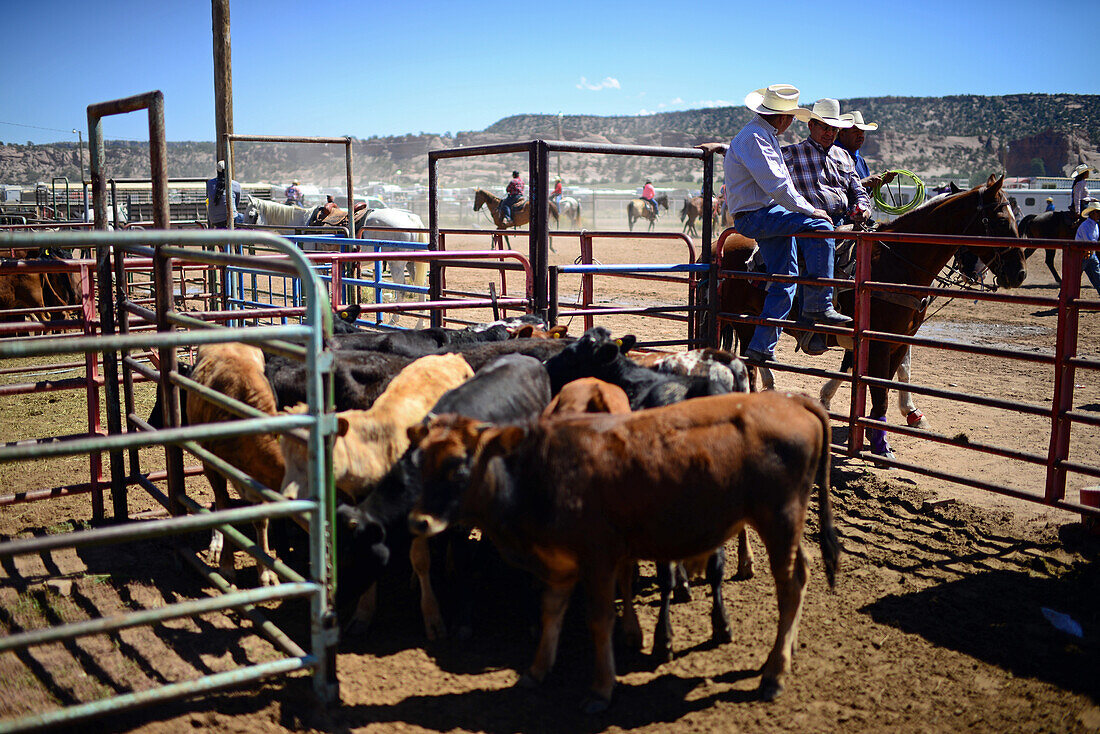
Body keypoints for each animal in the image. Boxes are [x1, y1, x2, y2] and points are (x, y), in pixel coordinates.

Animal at [717, 174, 1025, 455]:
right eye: (1000, 220)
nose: (1019, 273)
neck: (896, 262)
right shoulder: (877, 342)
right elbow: (877, 389)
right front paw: (879, 443)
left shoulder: (898, 340)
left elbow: (886, 381)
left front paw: (882, 427)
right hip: (738, 317)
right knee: (751, 361)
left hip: (747, 321)